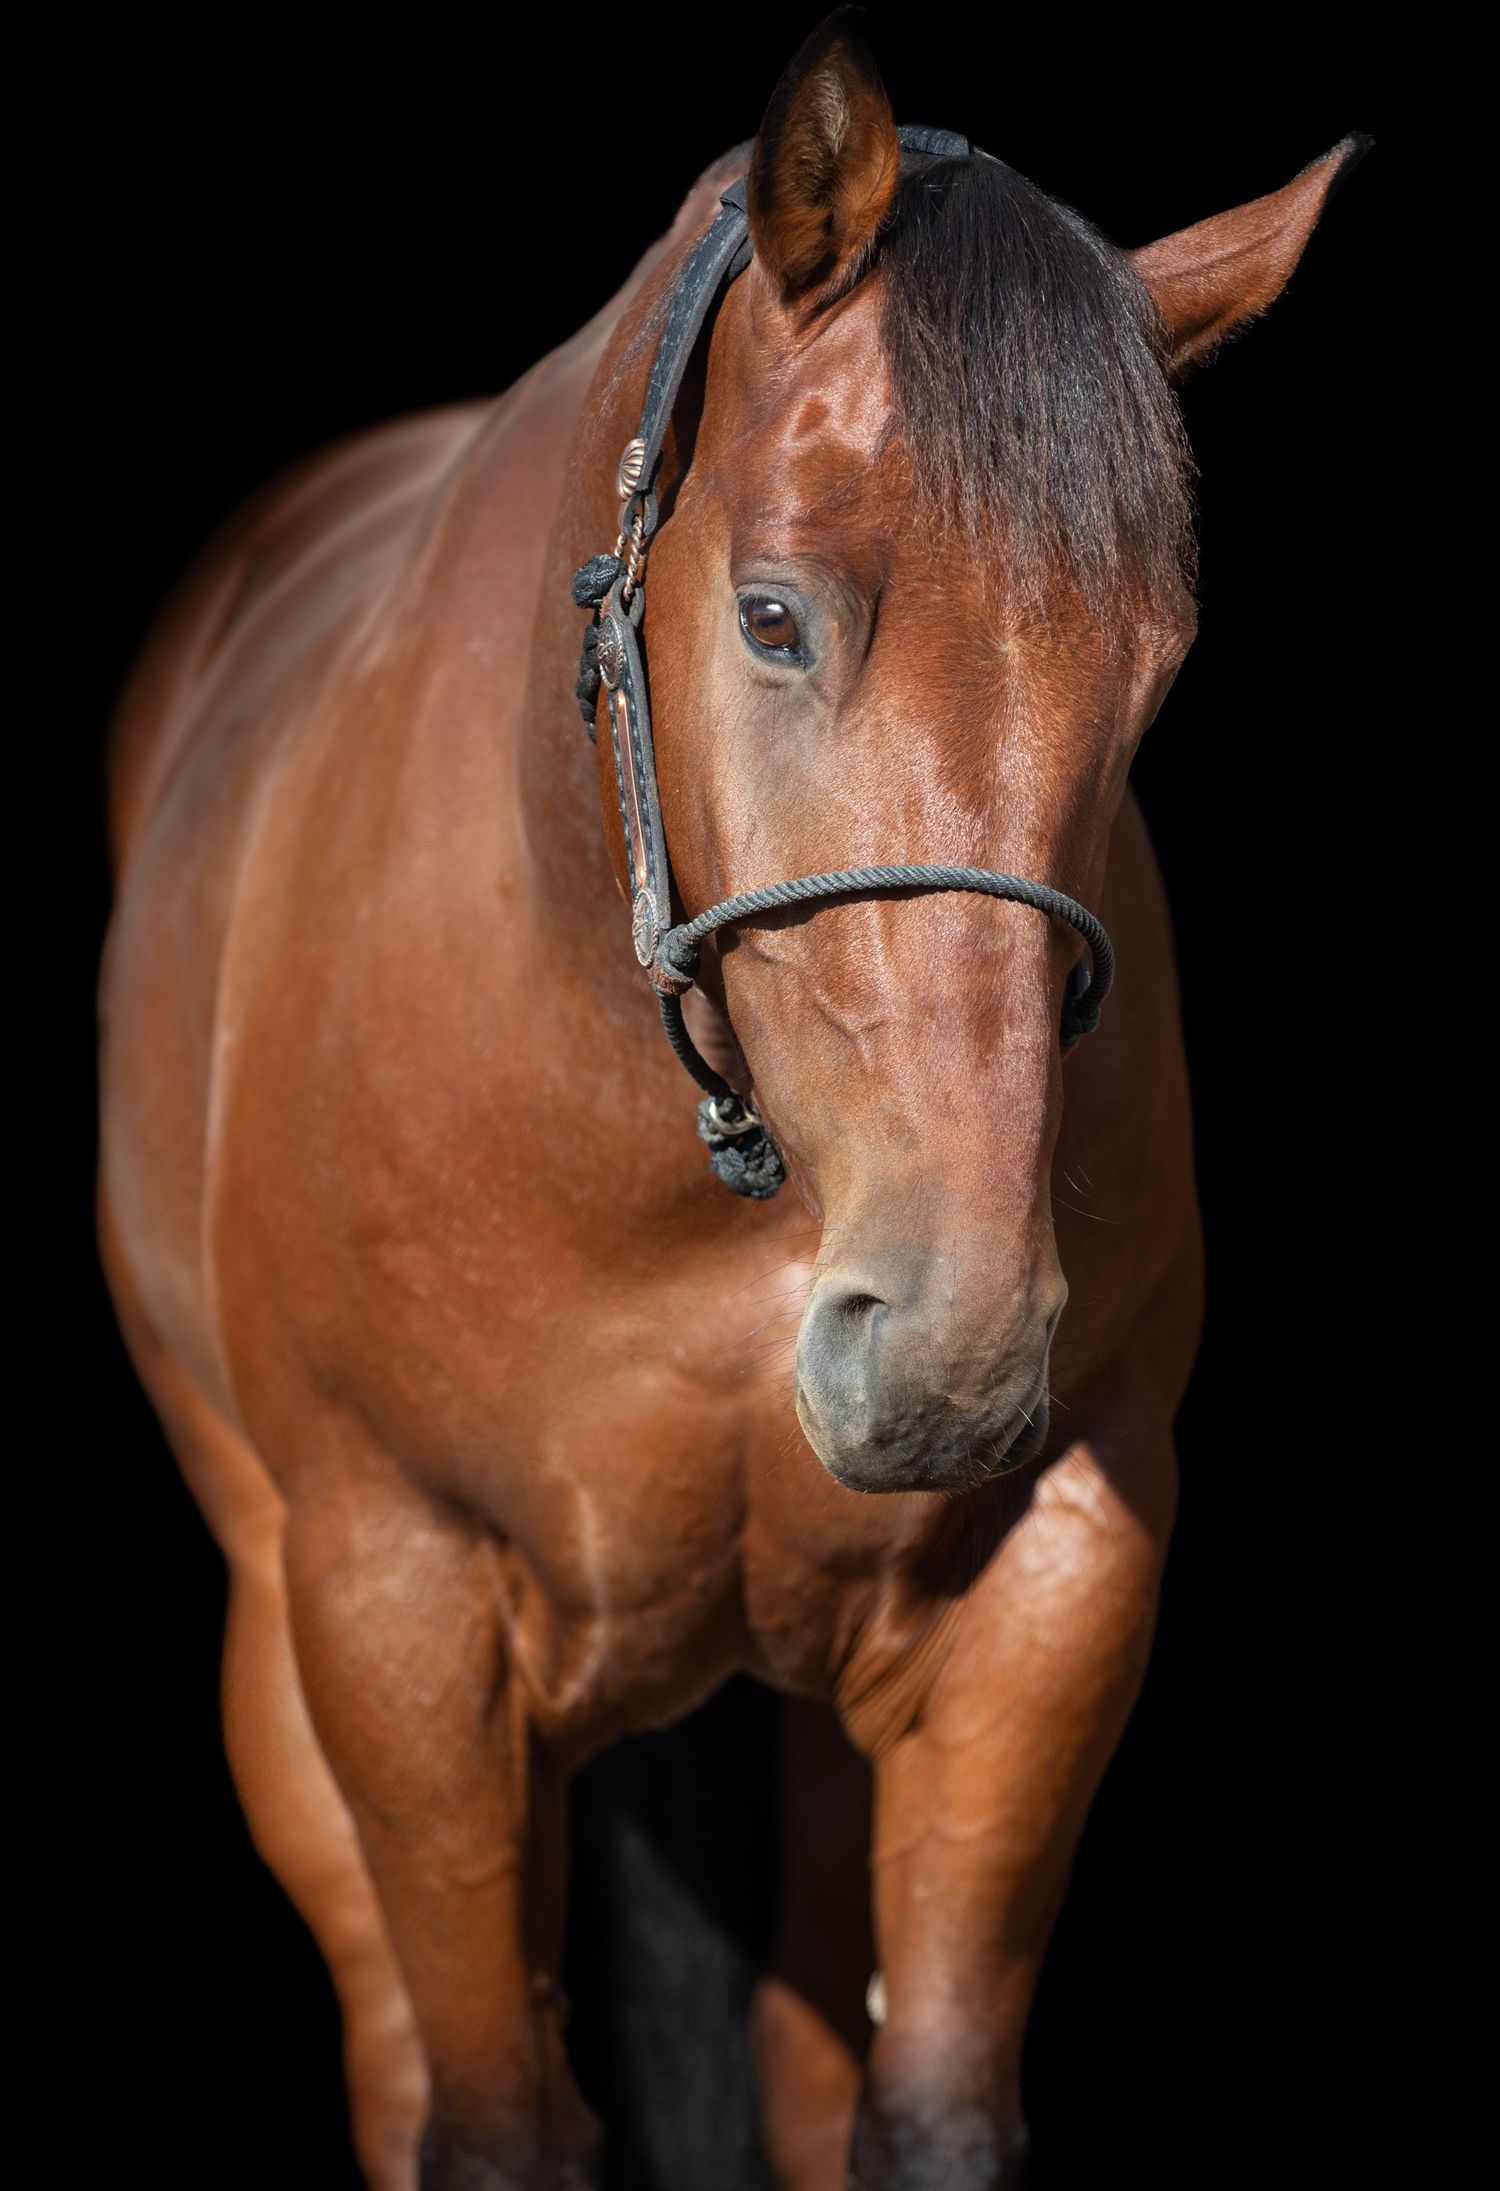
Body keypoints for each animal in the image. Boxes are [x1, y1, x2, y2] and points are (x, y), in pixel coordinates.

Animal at [96, 14, 1365, 2188]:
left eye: (1154, 669)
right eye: (775, 615)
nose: (947, 1352)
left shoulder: (1048, 1593)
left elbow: (921, 2109)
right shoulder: (399, 1613)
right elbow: (493, 2124)